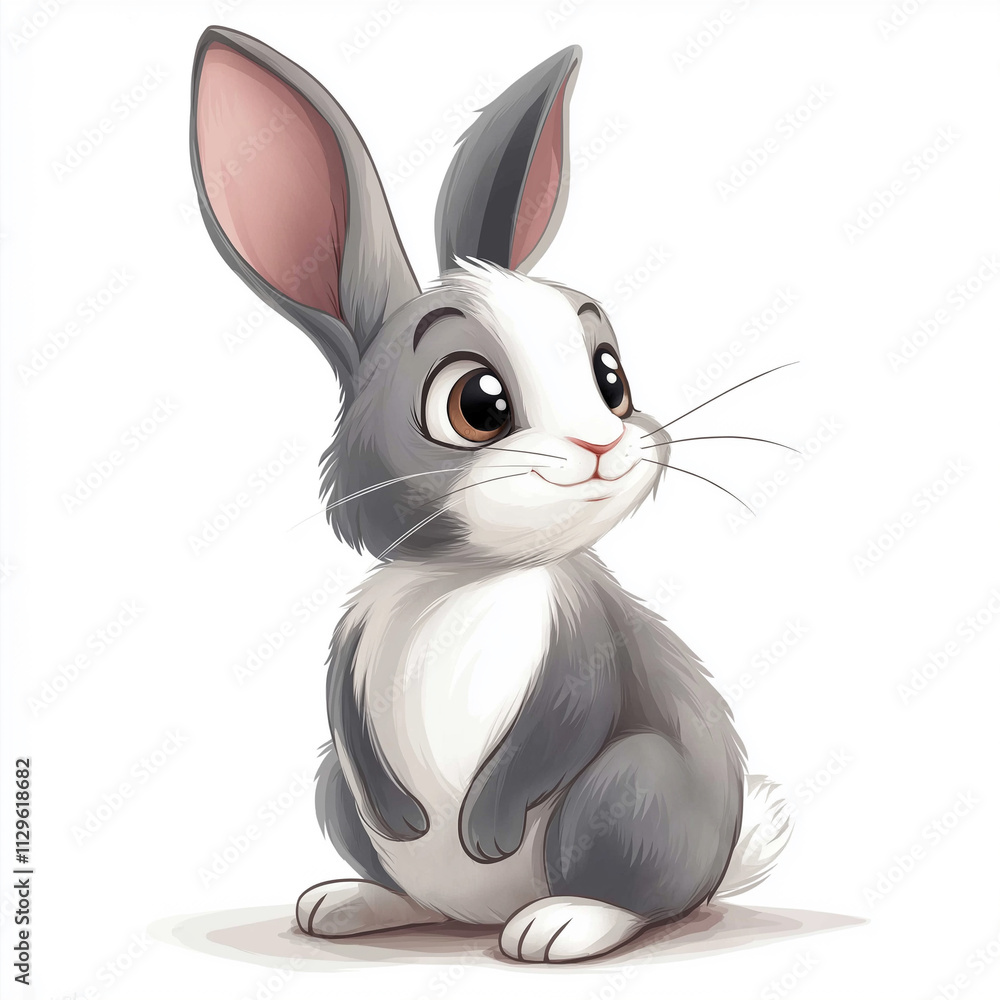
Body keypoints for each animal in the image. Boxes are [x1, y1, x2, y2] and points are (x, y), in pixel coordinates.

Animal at [189, 26, 792, 963]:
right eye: (477, 404)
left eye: (610, 378)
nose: (600, 444)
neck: (464, 580)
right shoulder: (350, 651)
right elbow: (352, 727)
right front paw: (409, 819)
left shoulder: (582, 646)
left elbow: (561, 725)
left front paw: (485, 832)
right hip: (332, 790)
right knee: (396, 866)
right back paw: (349, 902)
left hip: (631, 791)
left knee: (643, 892)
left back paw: (558, 924)